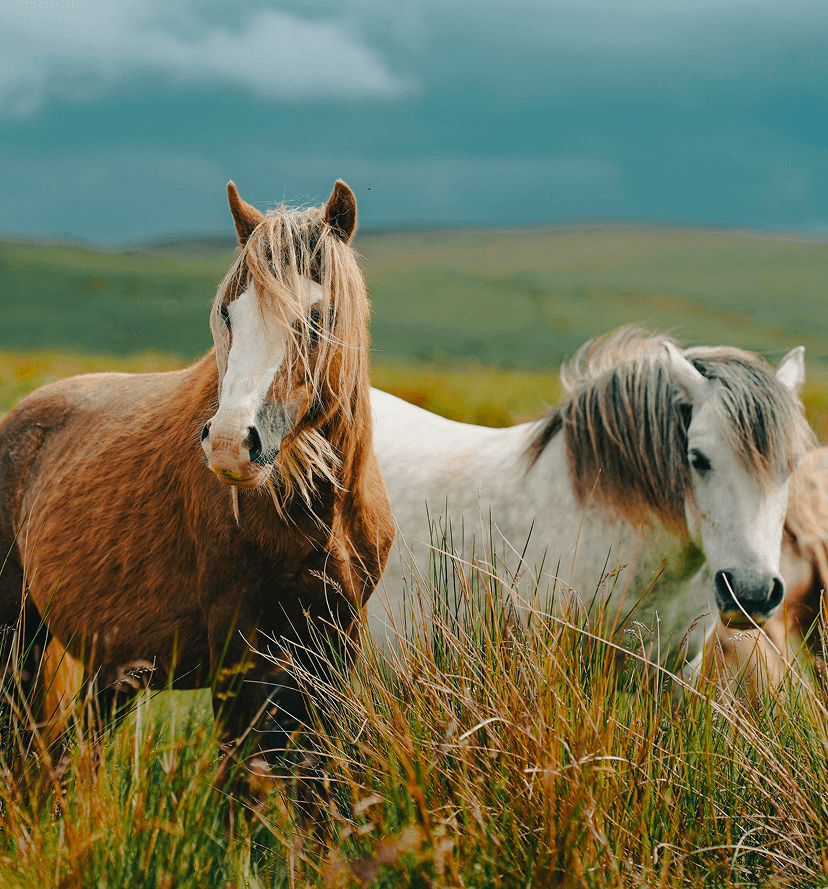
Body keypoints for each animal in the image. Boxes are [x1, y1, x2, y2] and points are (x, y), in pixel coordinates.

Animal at [0, 180, 394, 780]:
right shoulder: (237, 654)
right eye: (229, 315)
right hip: (18, 645)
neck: (318, 516)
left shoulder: (332, 649)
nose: (231, 443)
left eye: (317, 316)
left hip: (113, 674)